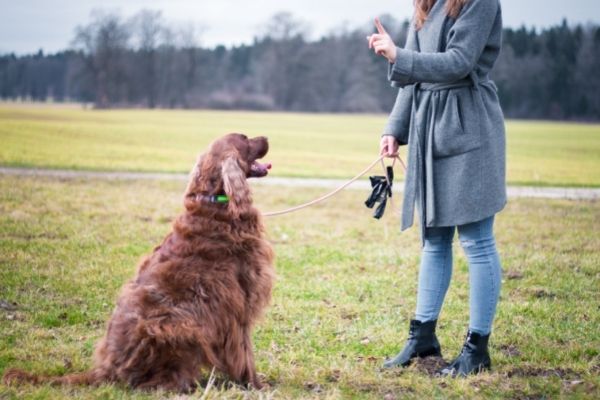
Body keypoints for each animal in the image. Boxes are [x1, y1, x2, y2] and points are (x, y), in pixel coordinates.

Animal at [3, 133, 276, 392]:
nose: (266, 138)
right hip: (177, 325)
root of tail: (106, 371)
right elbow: (245, 353)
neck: (216, 203)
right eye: (245, 138)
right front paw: (255, 386)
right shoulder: (238, 304)